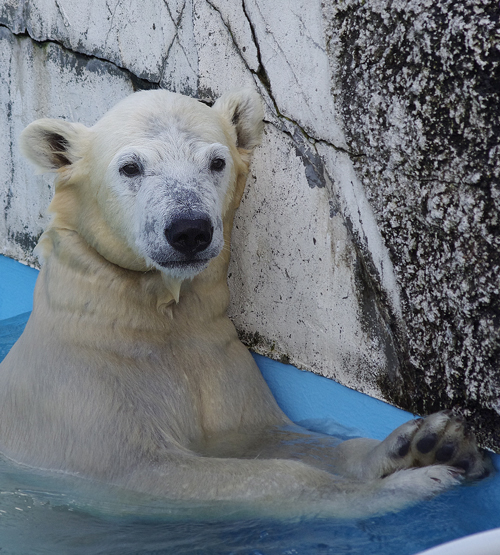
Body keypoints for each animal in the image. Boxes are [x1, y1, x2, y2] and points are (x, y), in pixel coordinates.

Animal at [0, 89, 492, 520]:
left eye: (216, 161)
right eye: (130, 167)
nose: (189, 229)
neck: (126, 321)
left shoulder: (215, 365)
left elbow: (269, 437)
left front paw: (431, 442)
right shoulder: (81, 409)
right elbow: (158, 472)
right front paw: (411, 482)